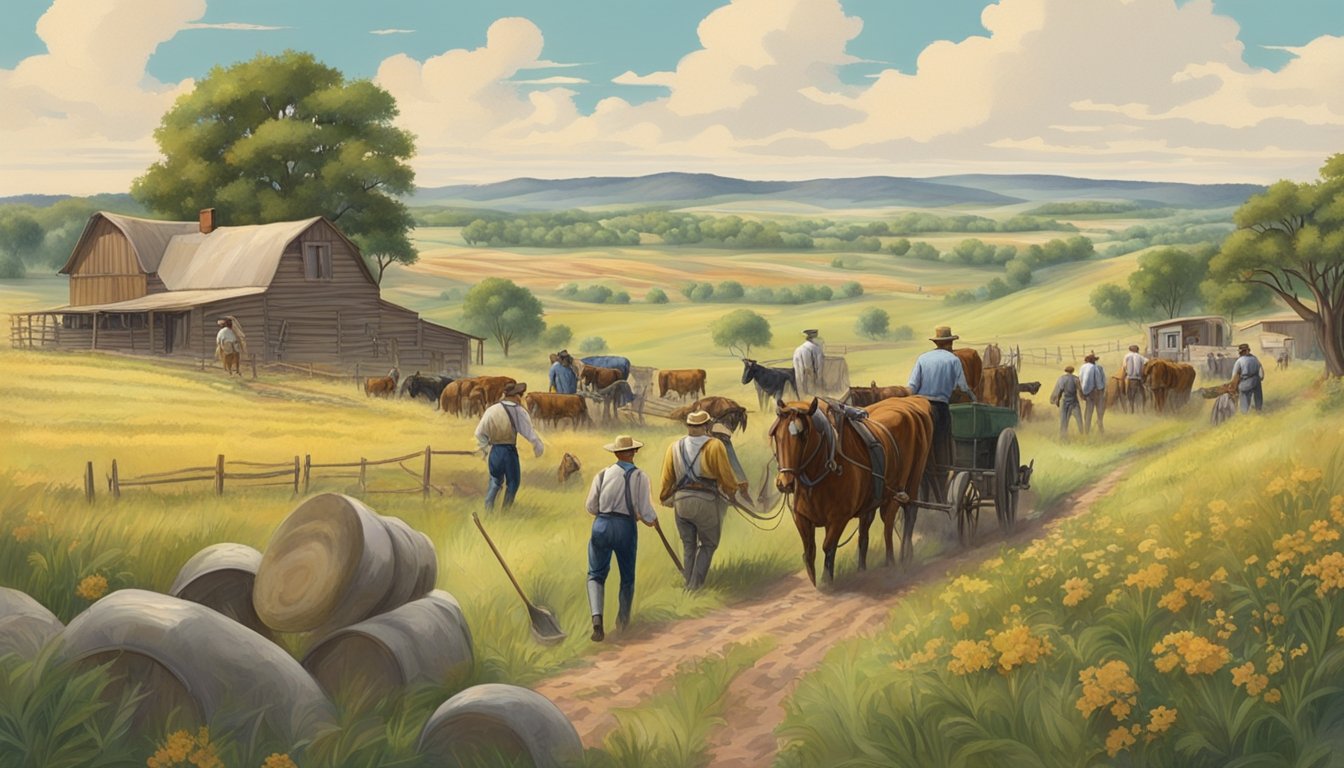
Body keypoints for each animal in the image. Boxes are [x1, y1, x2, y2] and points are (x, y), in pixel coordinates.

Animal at [768, 400, 935, 586]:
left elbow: (828, 546)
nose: (784, 482)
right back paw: (863, 568)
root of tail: (912, 405)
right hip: (872, 501)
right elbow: (810, 550)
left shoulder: (838, 518)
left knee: (897, 519)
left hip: (906, 485)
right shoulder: (801, 517)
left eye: (803, 434)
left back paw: (899, 559)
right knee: (866, 531)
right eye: (776, 434)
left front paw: (827, 582)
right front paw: (814, 581)